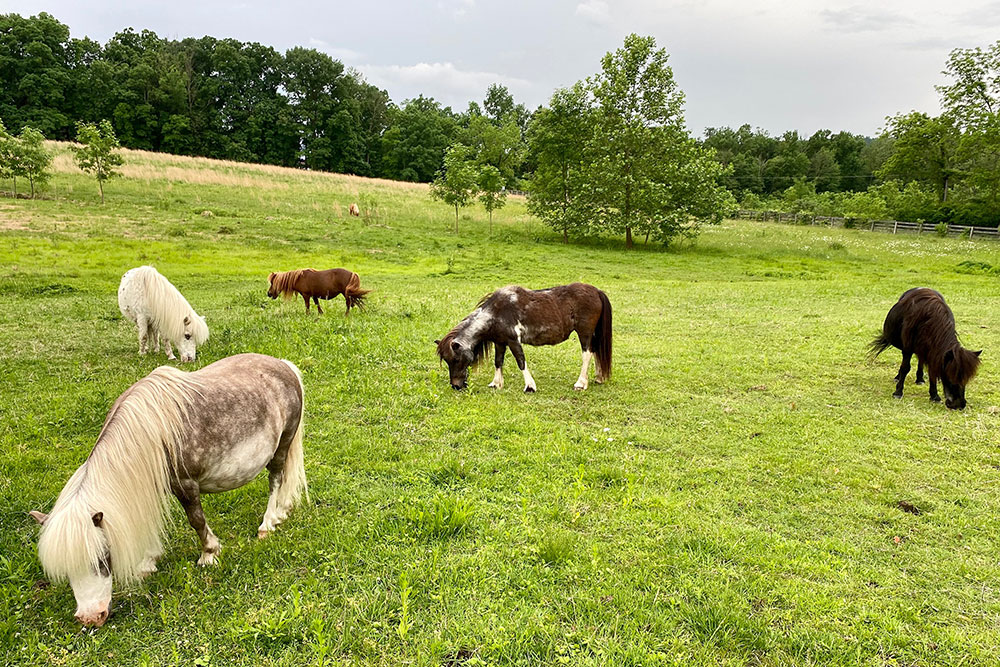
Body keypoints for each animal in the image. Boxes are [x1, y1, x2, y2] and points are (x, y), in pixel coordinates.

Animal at [29, 354, 306, 628]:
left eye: (101, 559)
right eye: (67, 571)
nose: (90, 617)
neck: (150, 433)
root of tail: (284, 366)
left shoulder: (186, 485)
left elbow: (196, 520)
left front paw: (209, 553)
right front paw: (149, 561)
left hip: (282, 446)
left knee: (276, 479)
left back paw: (267, 523)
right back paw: (281, 512)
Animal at [436, 284, 612, 394]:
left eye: (455, 359)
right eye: (446, 361)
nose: (456, 386)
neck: (495, 314)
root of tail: (597, 291)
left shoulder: (514, 340)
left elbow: (521, 361)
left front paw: (530, 386)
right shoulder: (500, 342)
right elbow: (498, 362)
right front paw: (496, 384)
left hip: (584, 333)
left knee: (587, 354)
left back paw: (581, 384)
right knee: (596, 351)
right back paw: (599, 378)